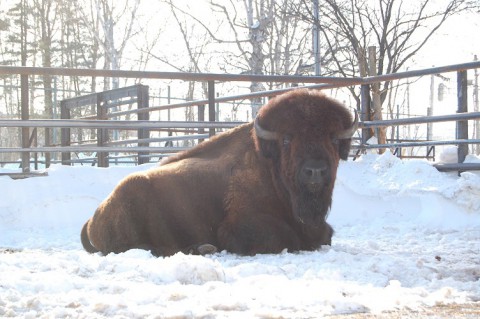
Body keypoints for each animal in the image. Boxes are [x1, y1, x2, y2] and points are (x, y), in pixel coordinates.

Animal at [80, 90, 358, 258]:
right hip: (133, 195)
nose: (315, 170)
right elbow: (285, 237)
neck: (270, 169)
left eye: (333, 139)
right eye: (287, 139)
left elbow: (325, 235)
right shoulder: (240, 225)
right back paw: (202, 248)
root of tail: (94, 216)